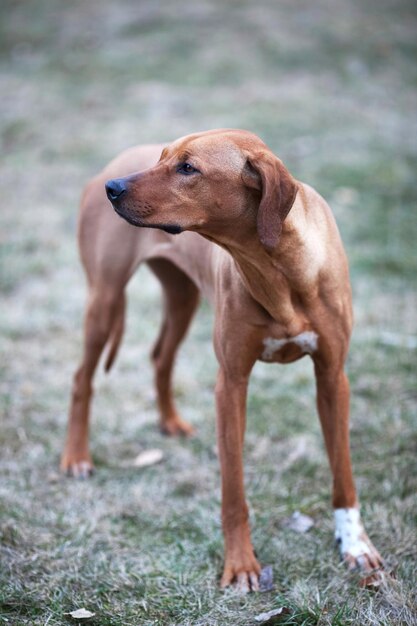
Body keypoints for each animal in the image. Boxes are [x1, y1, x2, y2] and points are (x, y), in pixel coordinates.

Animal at [61, 128, 384, 588]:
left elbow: (344, 475)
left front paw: (355, 546)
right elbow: (233, 492)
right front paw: (242, 564)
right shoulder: (231, 385)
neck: (277, 267)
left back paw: (170, 421)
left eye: (188, 168)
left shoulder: (332, 377)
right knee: (81, 378)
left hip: (182, 297)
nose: (113, 189)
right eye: (163, 157)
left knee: (160, 356)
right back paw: (76, 457)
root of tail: (109, 164)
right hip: (104, 299)